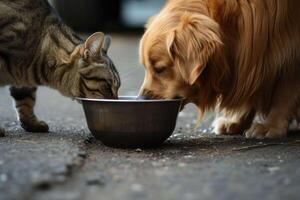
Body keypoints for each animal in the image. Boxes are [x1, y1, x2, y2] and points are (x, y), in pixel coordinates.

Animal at [139, 0, 300, 139]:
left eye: (159, 69)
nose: (142, 100)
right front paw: (236, 121)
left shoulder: (291, 54)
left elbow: (284, 93)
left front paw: (271, 125)